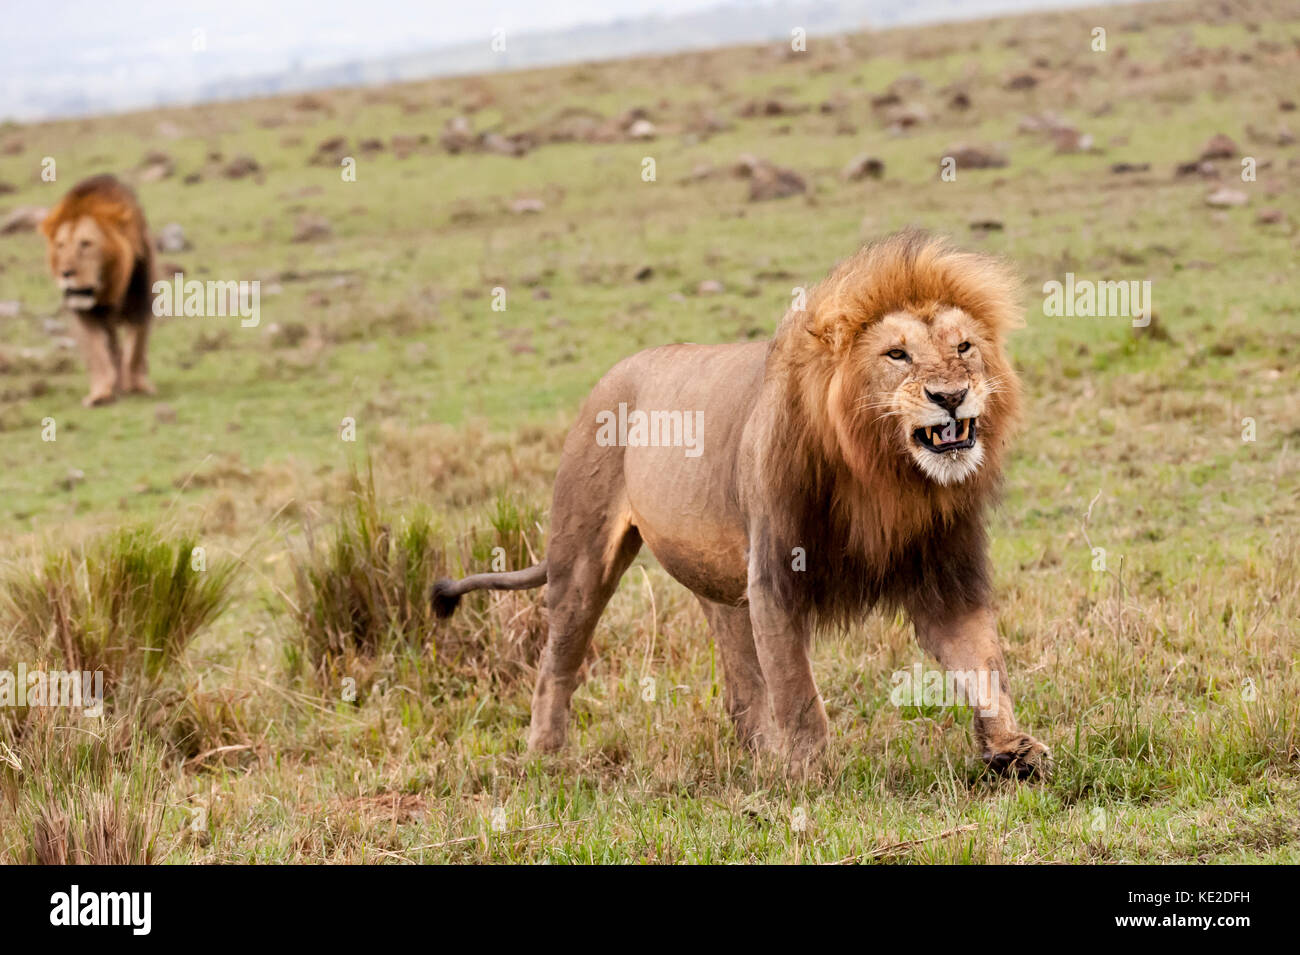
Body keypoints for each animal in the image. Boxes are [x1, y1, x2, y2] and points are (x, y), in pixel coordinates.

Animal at [40, 174, 156, 407]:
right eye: (60, 245)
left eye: (85, 243)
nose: (66, 273)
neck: (109, 287)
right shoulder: (85, 315)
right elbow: (98, 354)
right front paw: (101, 394)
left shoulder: (140, 300)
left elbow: (136, 347)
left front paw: (137, 387)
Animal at [433, 231, 1049, 777]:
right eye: (897, 354)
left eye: (963, 346)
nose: (951, 396)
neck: (885, 476)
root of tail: (609, 376)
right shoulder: (775, 573)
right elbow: (797, 691)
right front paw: (809, 775)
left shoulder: (947, 571)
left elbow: (983, 662)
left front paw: (1013, 751)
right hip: (581, 555)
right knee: (557, 661)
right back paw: (545, 757)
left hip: (716, 578)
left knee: (739, 680)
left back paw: (760, 755)